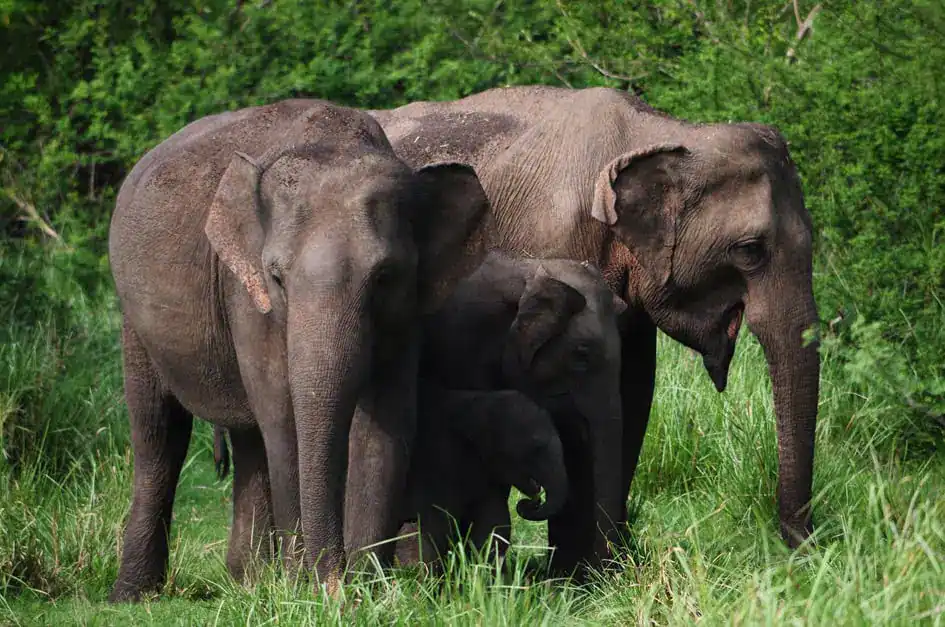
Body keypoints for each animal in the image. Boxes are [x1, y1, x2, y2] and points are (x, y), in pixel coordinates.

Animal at [107, 99, 492, 601]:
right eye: (277, 276)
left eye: (385, 276)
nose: (332, 579)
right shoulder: (246, 292)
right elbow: (283, 413)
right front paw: (305, 589)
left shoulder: (408, 311)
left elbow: (386, 424)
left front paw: (364, 591)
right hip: (133, 317)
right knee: (157, 435)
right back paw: (134, 596)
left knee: (248, 440)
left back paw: (249, 582)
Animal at [369, 85, 821, 568]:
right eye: (750, 249)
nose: (801, 552)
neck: (664, 132)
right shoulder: (549, 243)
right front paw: (579, 572)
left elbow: (633, 394)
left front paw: (594, 571)